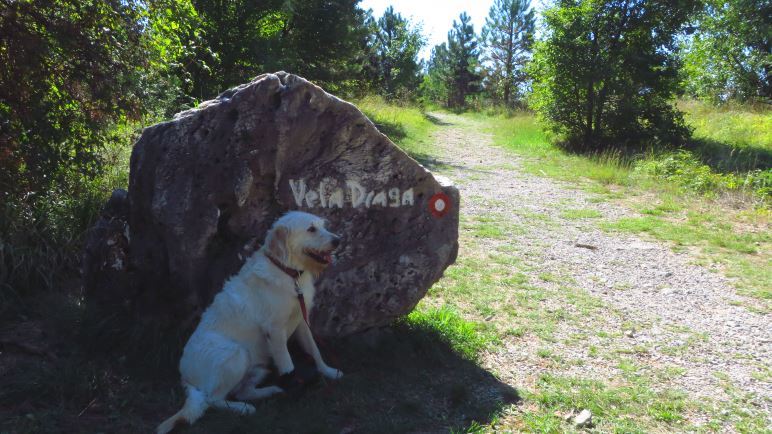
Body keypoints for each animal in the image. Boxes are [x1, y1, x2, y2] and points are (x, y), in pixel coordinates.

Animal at [158, 212, 342, 432]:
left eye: (323, 226)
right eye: (311, 229)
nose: (338, 240)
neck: (287, 272)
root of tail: (186, 378)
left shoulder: (302, 323)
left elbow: (314, 351)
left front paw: (328, 372)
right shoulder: (275, 331)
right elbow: (287, 364)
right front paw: (295, 390)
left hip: (259, 365)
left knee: (241, 391)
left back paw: (269, 391)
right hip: (237, 354)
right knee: (213, 399)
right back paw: (243, 409)